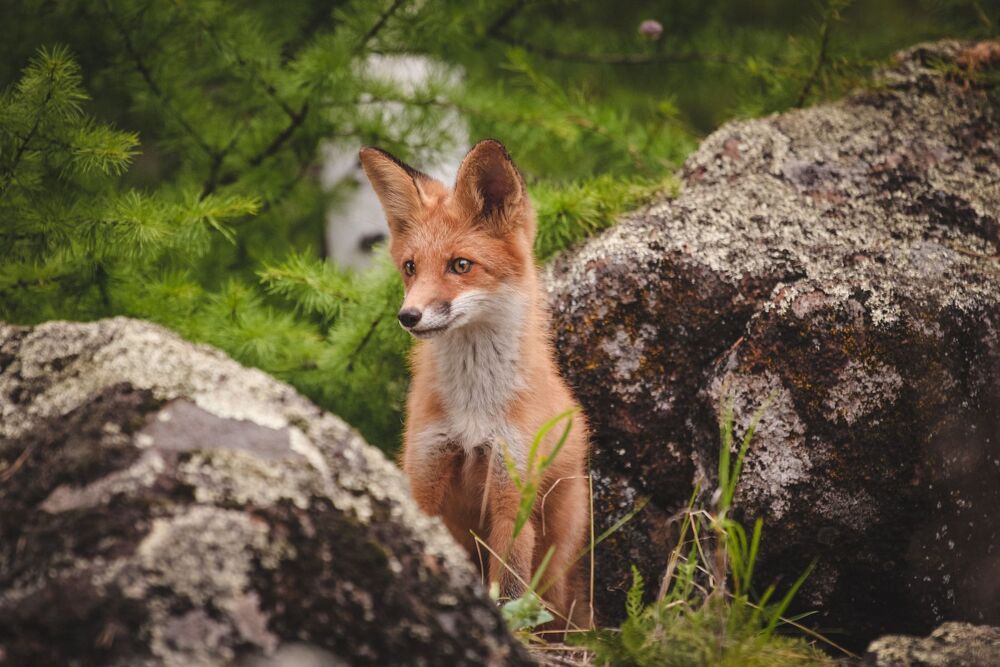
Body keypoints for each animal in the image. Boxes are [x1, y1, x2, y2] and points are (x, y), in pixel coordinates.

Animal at [359, 139, 592, 628]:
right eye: (410, 267)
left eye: (460, 265)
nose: (408, 316)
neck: (473, 409)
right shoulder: (425, 474)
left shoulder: (511, 494)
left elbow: (509, 588)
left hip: (558, 550)